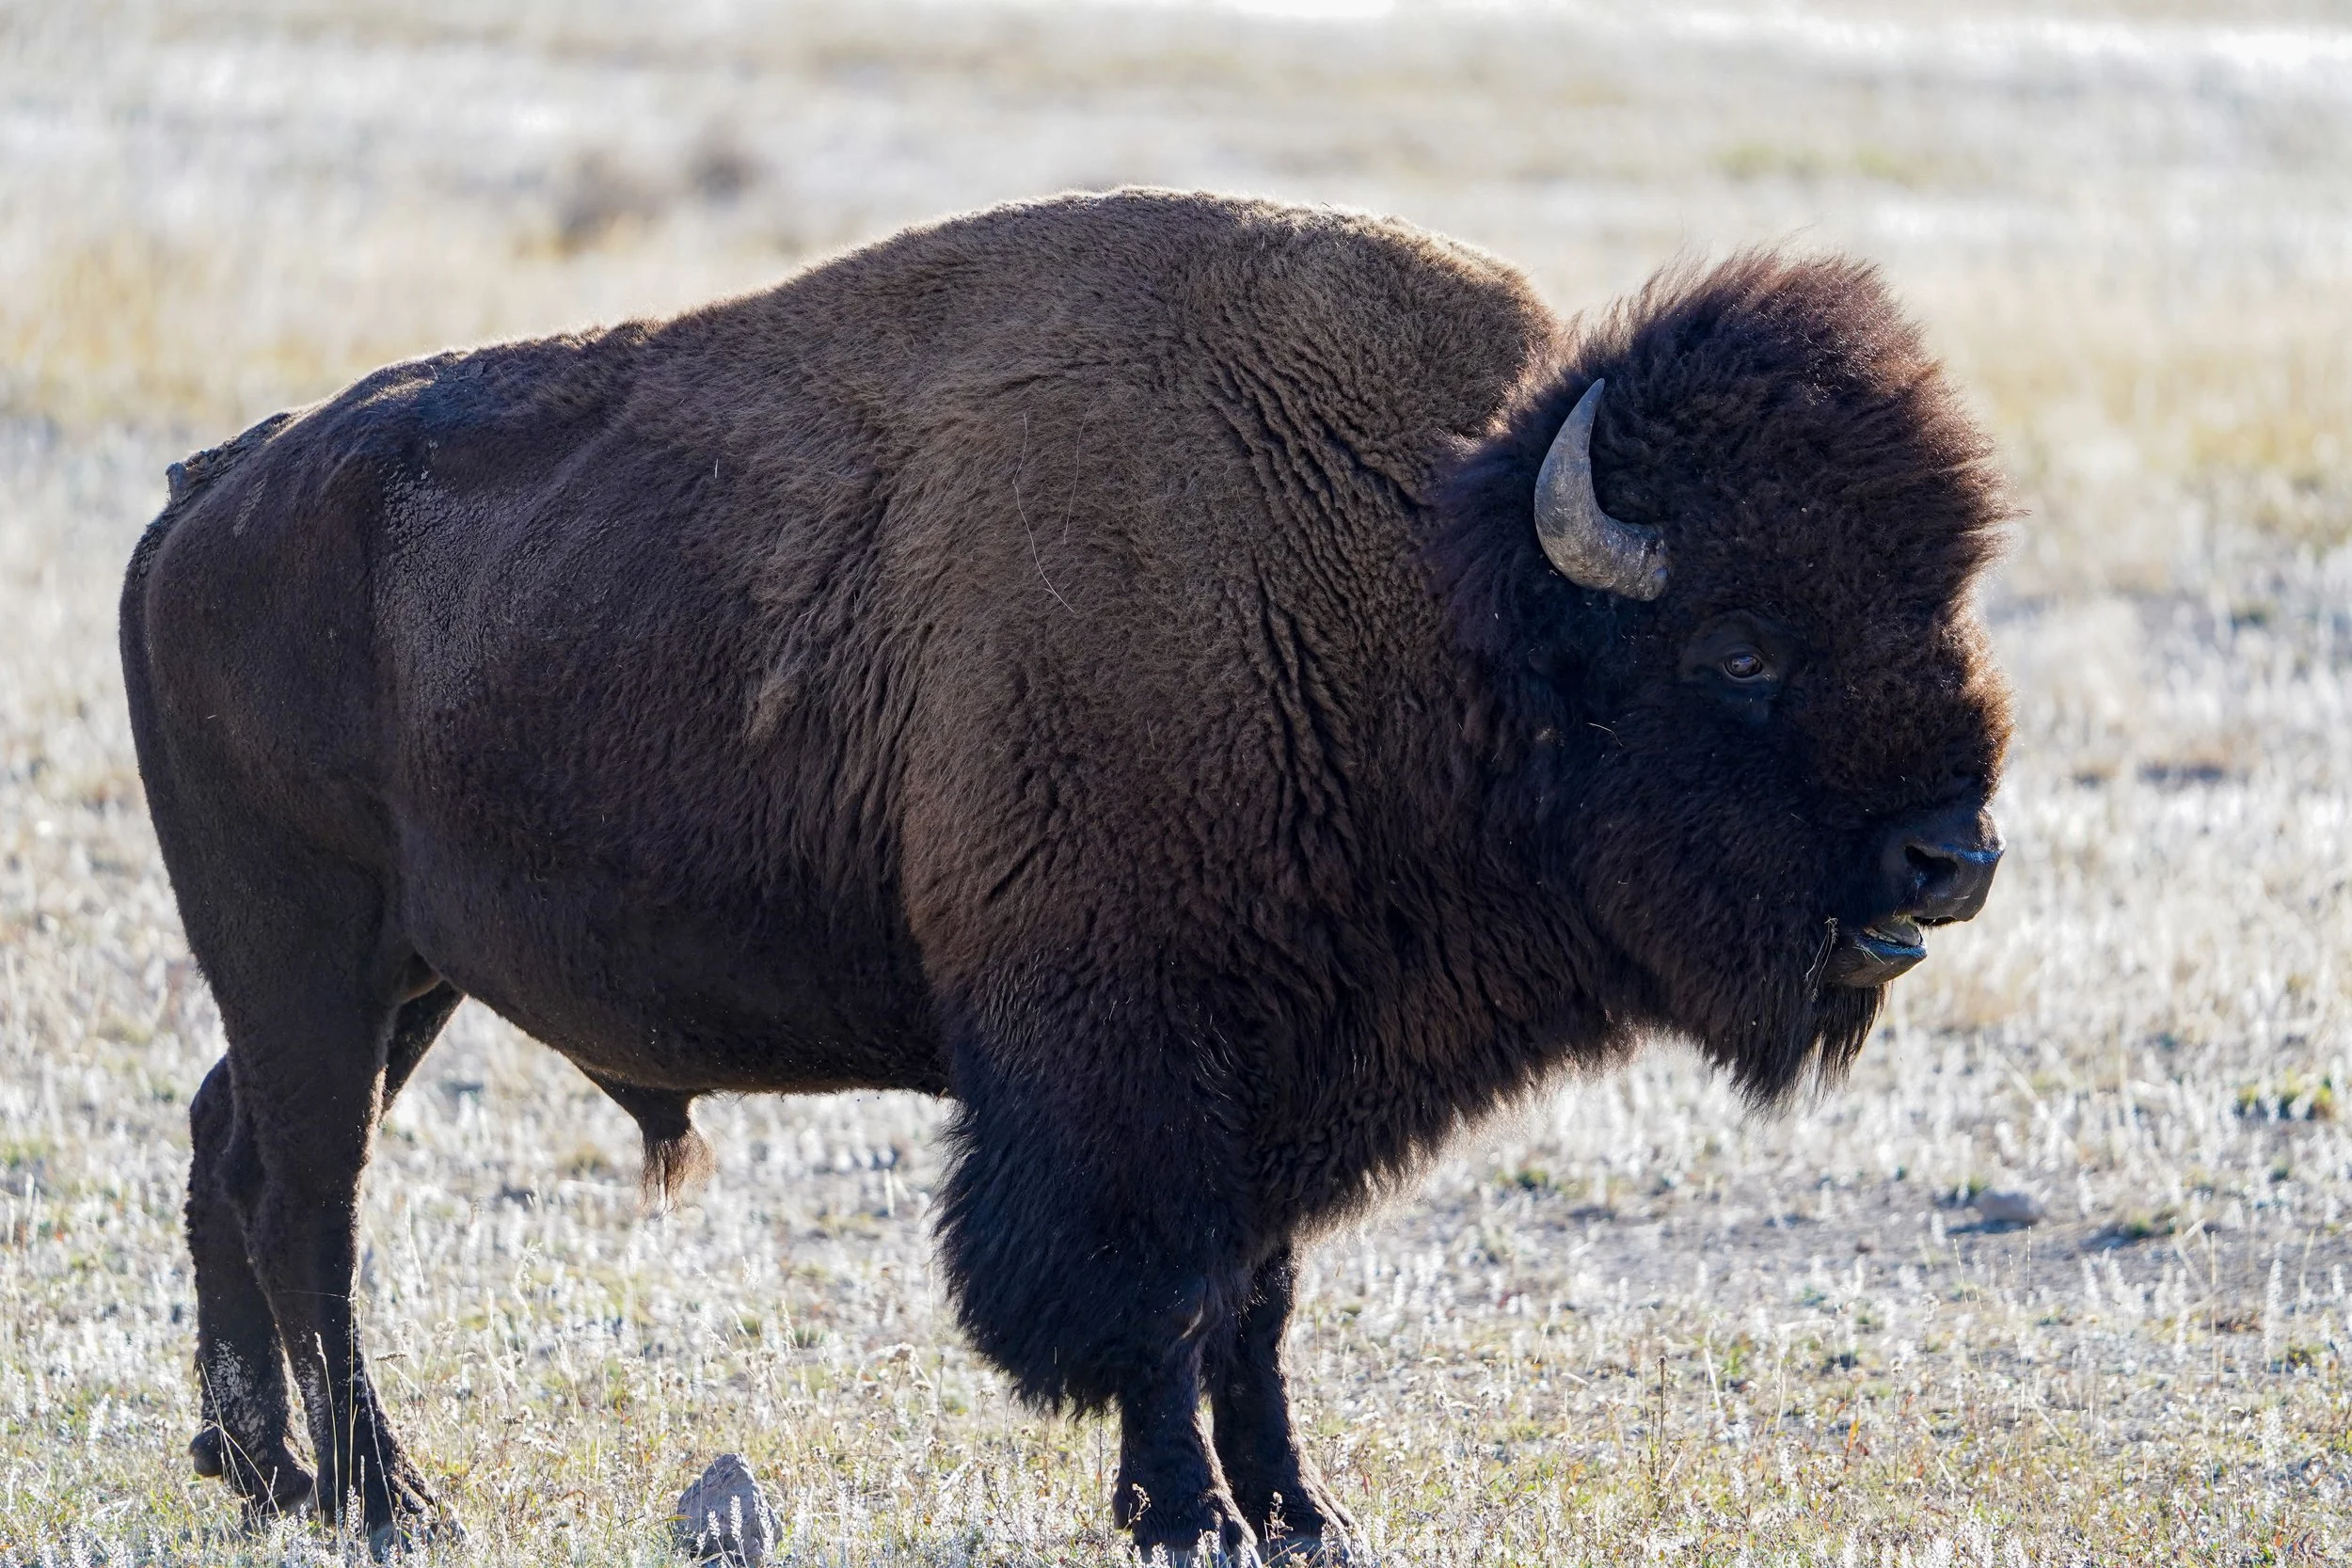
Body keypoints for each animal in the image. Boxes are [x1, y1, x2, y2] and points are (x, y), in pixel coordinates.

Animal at [121, 190, 2008, 1561]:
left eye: (1943, 598)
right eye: (1742, 645)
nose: (1954, 854)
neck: (1436, 590)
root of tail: (209, 492)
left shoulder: (1285, 1068)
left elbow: (1255, 1297)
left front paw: (1303, 1512)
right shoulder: (1125, 1060)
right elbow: (1156, 1295)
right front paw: (1189, 1514)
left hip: (400, 976)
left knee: (233, 1148)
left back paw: (259, 1470)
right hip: (309, 949)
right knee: (314, 1199)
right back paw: (386, 1497)